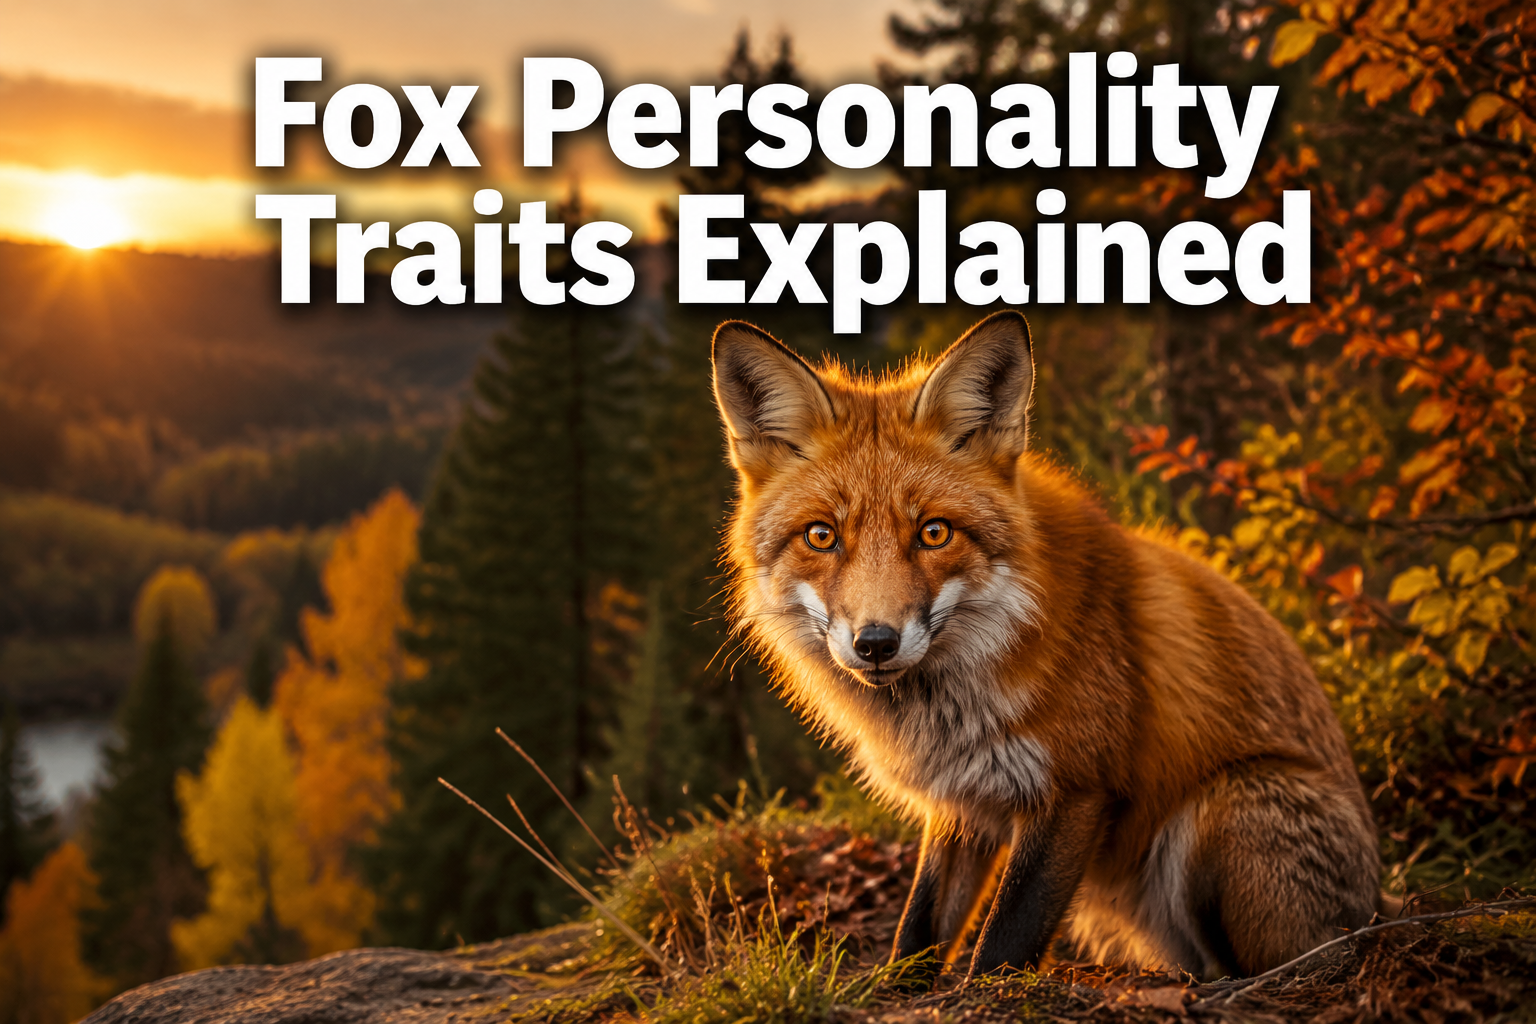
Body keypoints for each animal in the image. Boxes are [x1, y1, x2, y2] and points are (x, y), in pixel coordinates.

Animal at [710, 310, 1381, 981]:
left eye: (934, 533)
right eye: (821, 536)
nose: (875, 643)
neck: (951, 705)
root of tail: (1378, 908)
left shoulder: (1075, 789)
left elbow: (1006, 940)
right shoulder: (962, 803)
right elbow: (920, 928)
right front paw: (899, 984)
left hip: (1227, 804)